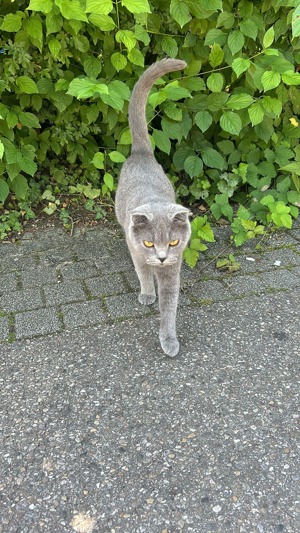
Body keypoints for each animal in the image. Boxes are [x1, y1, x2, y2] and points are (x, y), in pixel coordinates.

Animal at [115, 58, 190, 356]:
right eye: (149, 243)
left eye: (172, 243)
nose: (160, 257)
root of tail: (141, 153)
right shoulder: (136, 250)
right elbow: (143, 273)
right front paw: (148, 294)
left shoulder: (173, 267)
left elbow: (169, 305)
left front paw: (169, 339)